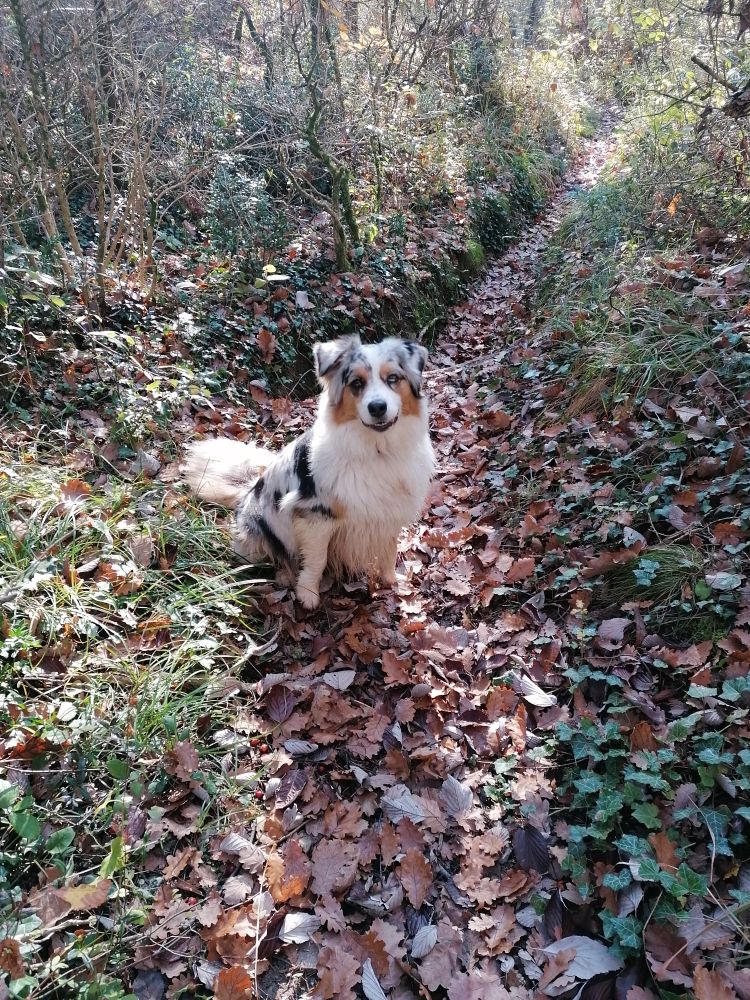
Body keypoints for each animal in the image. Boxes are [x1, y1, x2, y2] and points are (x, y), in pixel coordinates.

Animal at [183, 334, 438, 608]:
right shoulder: (316, 515)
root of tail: (247, 491)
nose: (377, 407)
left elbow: (389, 550)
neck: (378, 450)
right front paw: (307, 595)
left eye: (392, 379)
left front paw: (392, 582)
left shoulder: (390, 512)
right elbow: (317, 559)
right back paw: (284, 575)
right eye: (356, 383)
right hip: (257, 530)